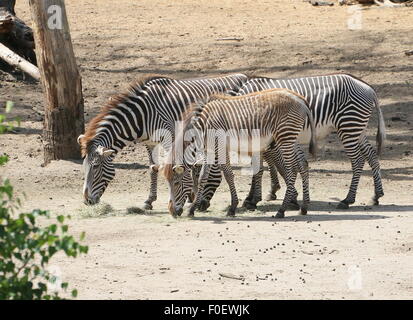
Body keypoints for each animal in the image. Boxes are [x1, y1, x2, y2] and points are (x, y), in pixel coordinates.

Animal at [76, 73, 248, 206]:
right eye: (84, 166)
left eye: (96, 166)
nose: (87, 201)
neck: (141, 115)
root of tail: (243, 76)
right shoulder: (150, 142)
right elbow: (153, 168)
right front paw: (149, 201)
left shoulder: (169, 137)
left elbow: (176, 166)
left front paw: (189, 197)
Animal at [161, 88, 316, 218]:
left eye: (176, 183)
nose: (172, 212)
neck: (203, 126)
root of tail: (300, 99)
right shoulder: (209, 150)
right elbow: (202, 178)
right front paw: (192, 209)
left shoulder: (220, 147)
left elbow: (228, 175)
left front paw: (233, 207)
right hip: (291, 138)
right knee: (303, 164)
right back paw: (304, 207)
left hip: (285, 137)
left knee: (290, 171)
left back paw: (282, 210)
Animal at [198, 74, 384, 211]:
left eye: (198, 174)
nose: (199, 206)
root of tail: (368, 88)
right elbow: (264, 166)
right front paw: (260, 196)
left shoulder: (264, 137)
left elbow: (267, 167)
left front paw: (260, 199)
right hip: (357, 129)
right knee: (371, 155)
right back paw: (376, 195)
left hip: (348, 126)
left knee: (358, 160)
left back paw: (347, 200)